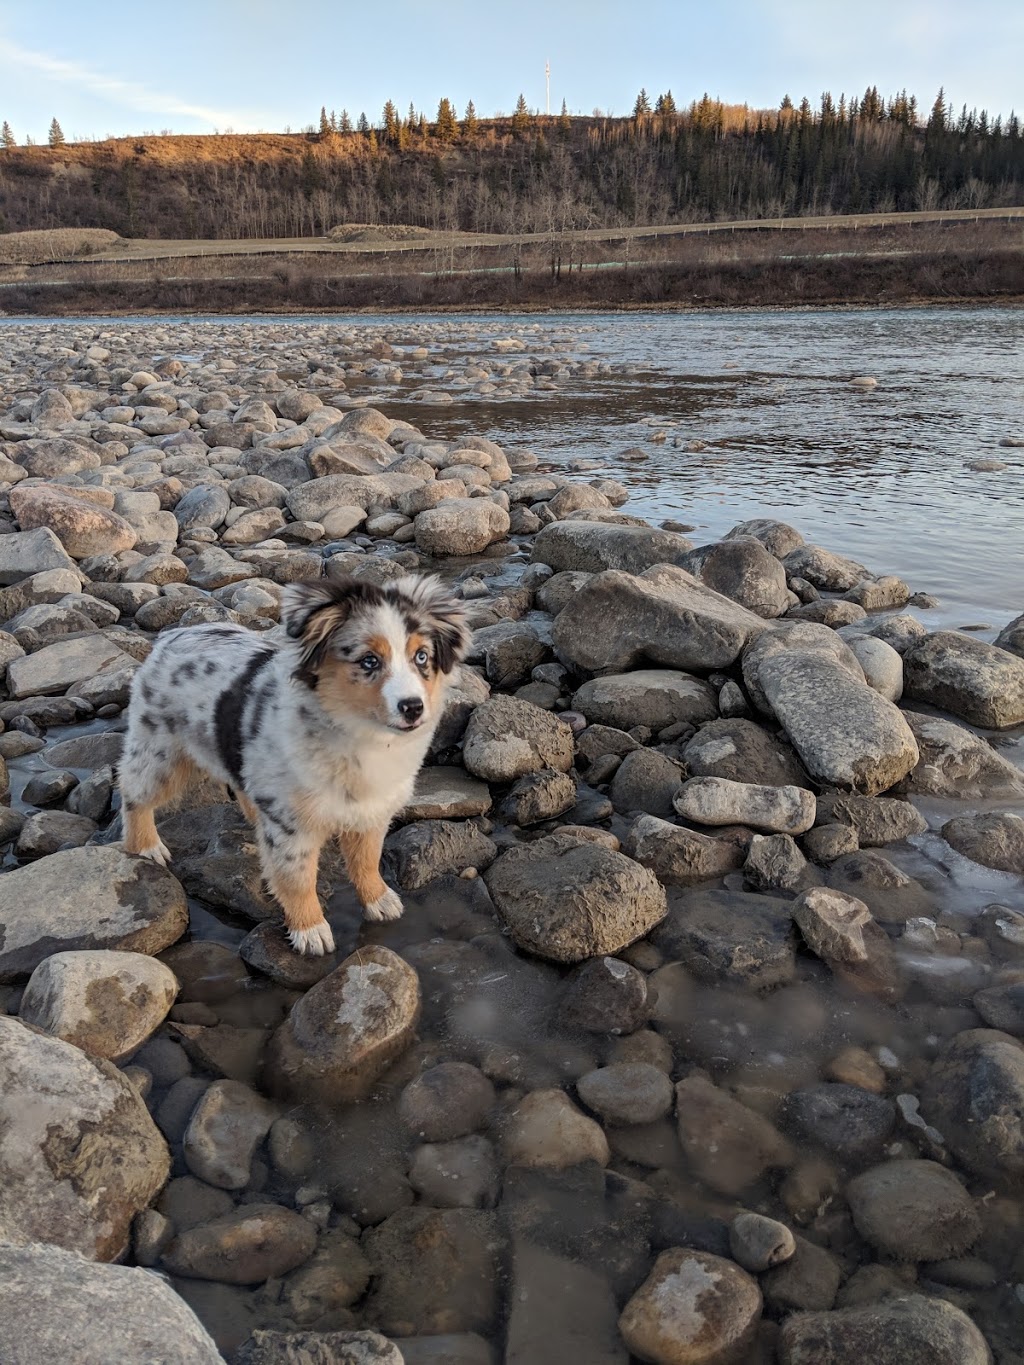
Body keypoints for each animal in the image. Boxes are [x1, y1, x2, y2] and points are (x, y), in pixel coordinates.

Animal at [118, 578, 472, 960]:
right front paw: (310, 929)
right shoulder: (293, 827)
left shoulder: (372, 811)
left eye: (422, 656)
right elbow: (298, 879)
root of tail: (174, 634)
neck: (360, 736)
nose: (412, 707)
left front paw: (378, 899)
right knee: (133, 791)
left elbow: (367, 860)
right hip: (159, 751)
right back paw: (146, 846)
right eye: (369, 660)